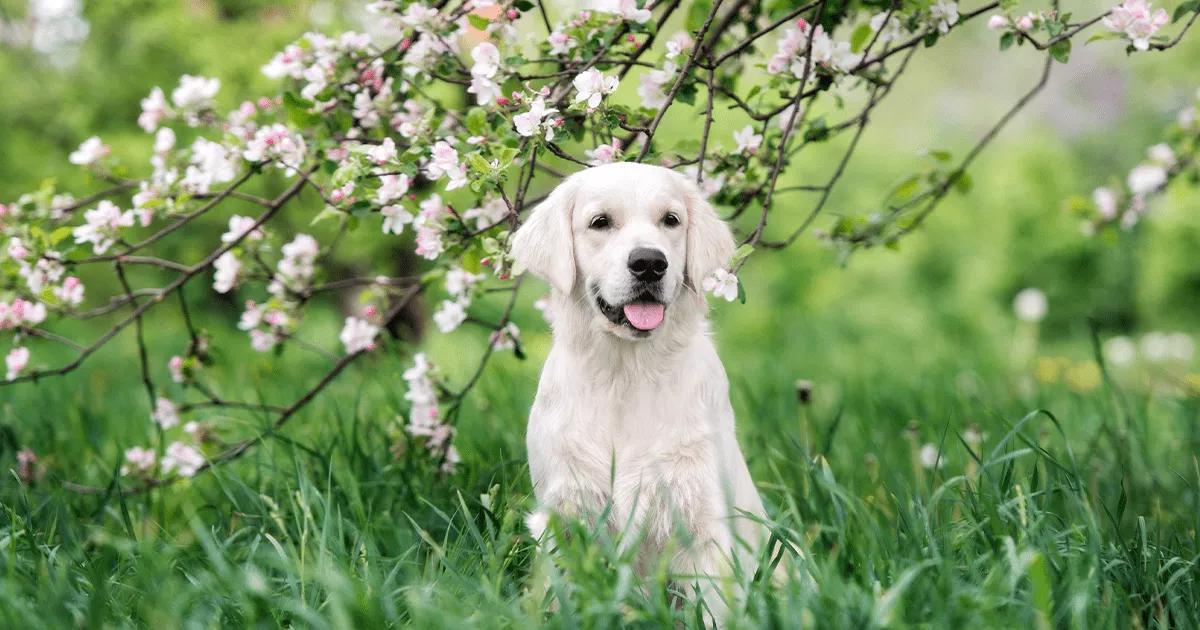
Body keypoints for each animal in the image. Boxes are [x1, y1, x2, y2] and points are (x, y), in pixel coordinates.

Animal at [508, 162, 772, 609]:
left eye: (671, 220)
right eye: (600, 222)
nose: (649, 263)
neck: (626, 375)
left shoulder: (702, 520)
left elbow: (713, 608)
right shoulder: (566, 513)